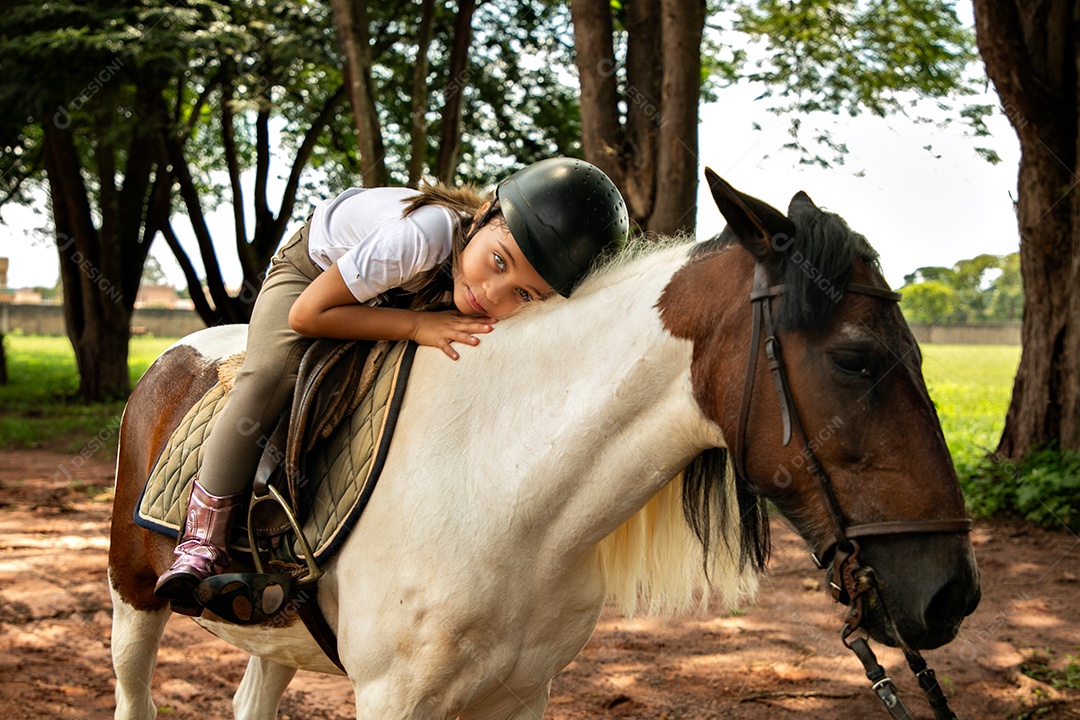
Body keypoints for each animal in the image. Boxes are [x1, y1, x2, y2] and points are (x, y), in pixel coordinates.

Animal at [108, 171, 980, 719]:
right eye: (855, 358)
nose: (954, 596)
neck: (504, 487)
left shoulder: (523, 694)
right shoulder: (393, 699)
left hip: (274, 640)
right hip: (132, 600)